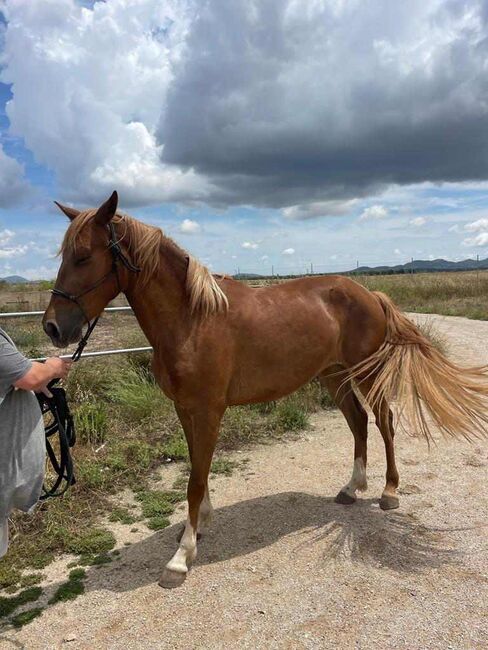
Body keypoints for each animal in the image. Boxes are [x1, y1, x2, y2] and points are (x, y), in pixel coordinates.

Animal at [42, 191, 488, 588]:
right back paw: (351, 488)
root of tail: (370, 294)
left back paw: (389, 491)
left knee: (384, 421)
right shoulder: (185, 409)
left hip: (366, 373)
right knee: (359, 422)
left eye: (84, 256)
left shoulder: (207, 410)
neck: (192, 319)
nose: (53, 327)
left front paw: (181, 557)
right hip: (334, 376)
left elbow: (195, 479)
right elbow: (197, 468)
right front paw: (198, 527)